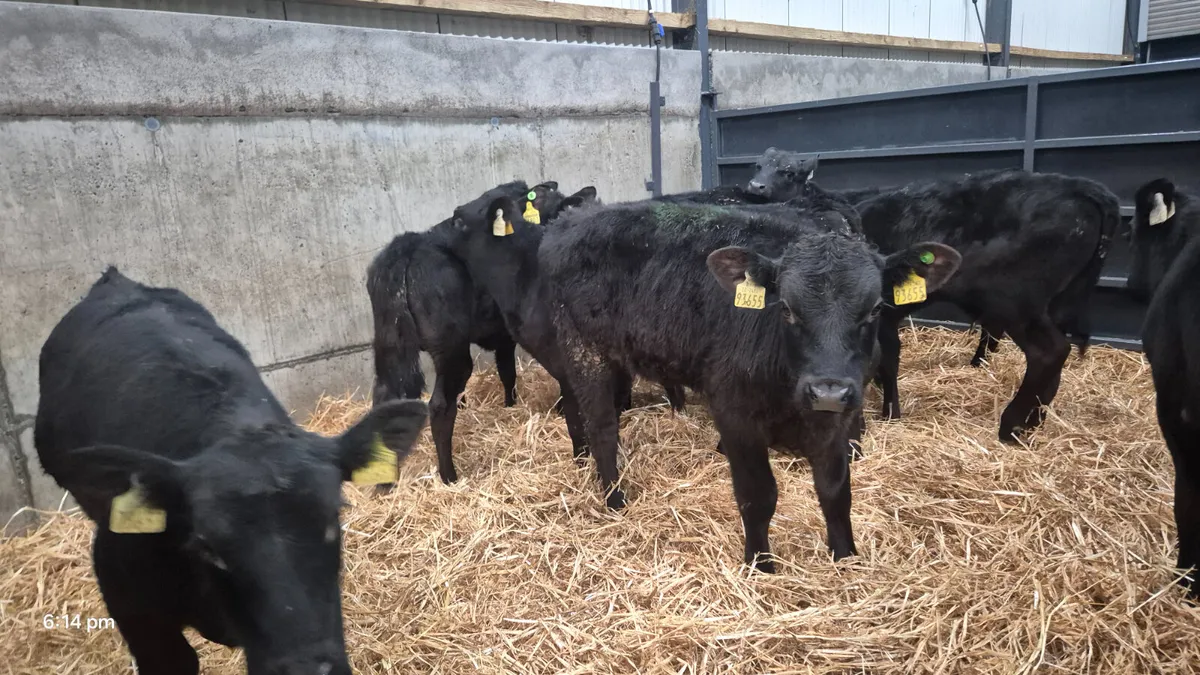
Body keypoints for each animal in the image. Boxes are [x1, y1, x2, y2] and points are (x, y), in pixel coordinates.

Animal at [446, 184, 960, 571]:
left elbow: (836, 492)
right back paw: (614, 499)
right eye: (787, 310)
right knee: (604, 428)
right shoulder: (735, 414)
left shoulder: (832, 420)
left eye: (873, 309)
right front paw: (760, 567)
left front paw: (846, 560)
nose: (829, 389)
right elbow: (758, 496)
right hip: (585, 353)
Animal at [745, 150, 1119, 443]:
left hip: (1016, 303)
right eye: (757, 166)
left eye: (788, 171)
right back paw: (1034, 420)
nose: (755, 186)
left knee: (1050, 351)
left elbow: (887, 359)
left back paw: (1011, 426)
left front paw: (889, 412)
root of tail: (1079, 186)